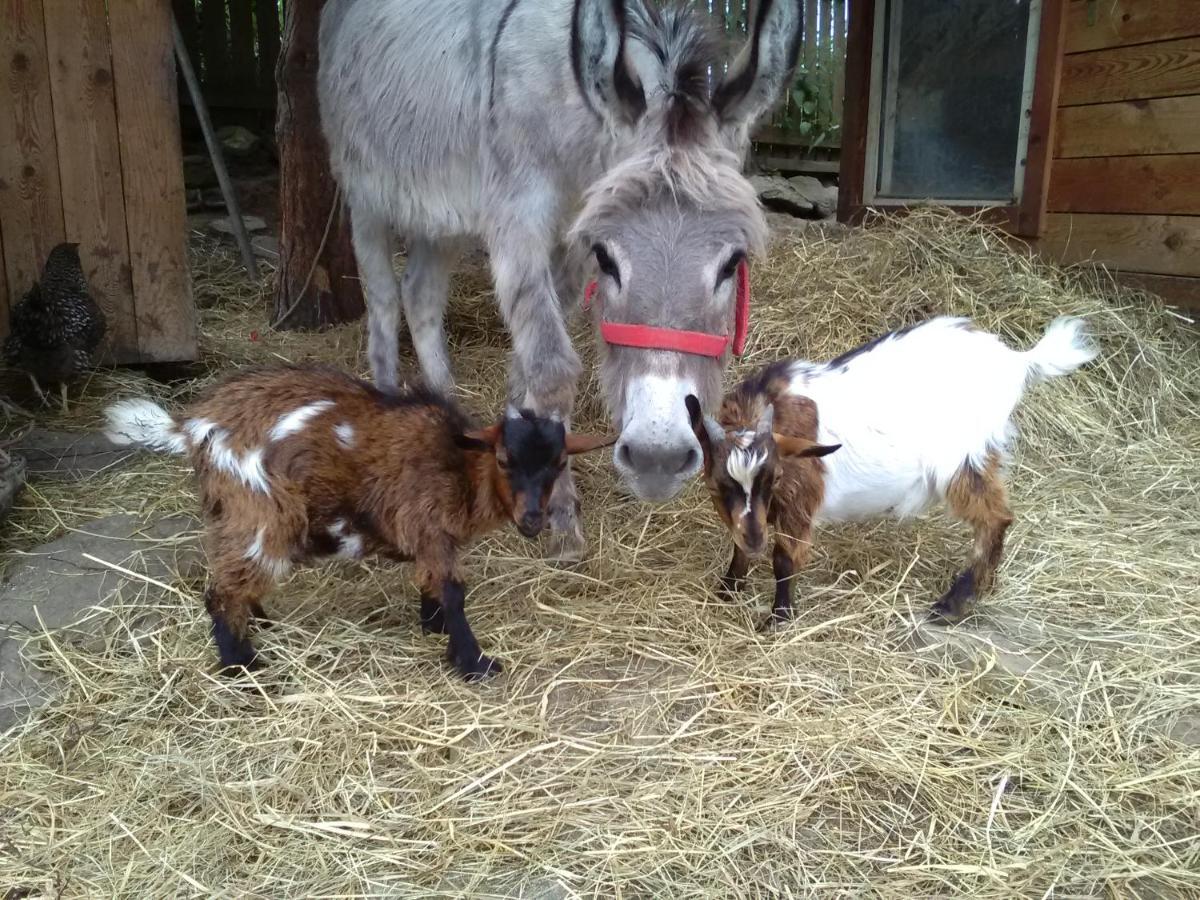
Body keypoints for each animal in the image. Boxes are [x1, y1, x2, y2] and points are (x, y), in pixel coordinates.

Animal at [105, 367, 609, 681]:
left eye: (560, 463)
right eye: (504, 459)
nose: (532, 520)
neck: (458, 466)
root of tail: (192, 425)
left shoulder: (432, 537)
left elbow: (432, 584)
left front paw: (432, 627)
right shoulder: (427, 523)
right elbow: (453, 591)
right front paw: (473, 663)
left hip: (229, 512)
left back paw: (257, 623)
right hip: (261, 509)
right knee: (220, 591)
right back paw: (242, 668)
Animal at [686, 321, 1099, 628]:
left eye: (772, 479)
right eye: (718, 486)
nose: (756, 539)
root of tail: (1017, 362)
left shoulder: (798, 500)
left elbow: (784, 559)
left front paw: (778, 618)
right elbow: (738, 545)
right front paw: (727, 589)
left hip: (963, 461)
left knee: (995, 519)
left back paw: (953, 604)